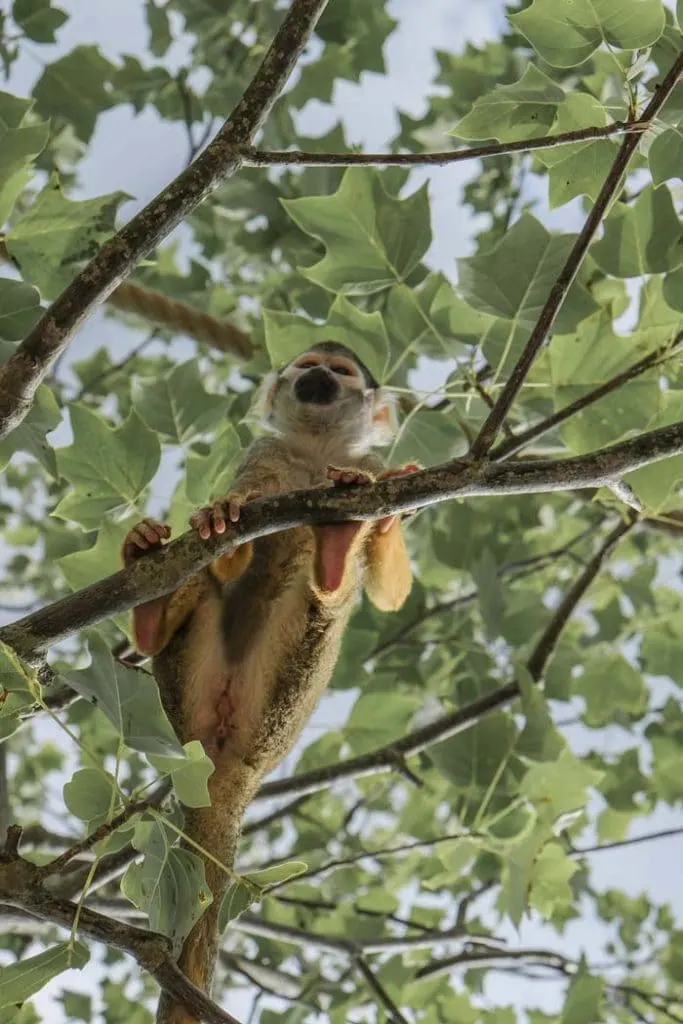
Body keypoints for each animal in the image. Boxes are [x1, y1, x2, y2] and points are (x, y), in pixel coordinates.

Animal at [120, 344, 419, 1024]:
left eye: (340, 373)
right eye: (309, 364)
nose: (318, 375)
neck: (314, 452)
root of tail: (225, 765)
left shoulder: (367, 464)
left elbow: (387, 596)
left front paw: (385, 525)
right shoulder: (264, 453)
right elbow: (244, 494)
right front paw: (222, 516)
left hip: (280, 702)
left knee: (325, 603)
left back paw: (333, 556)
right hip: (187, 681)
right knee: (204, 572)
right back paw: (156, 606)